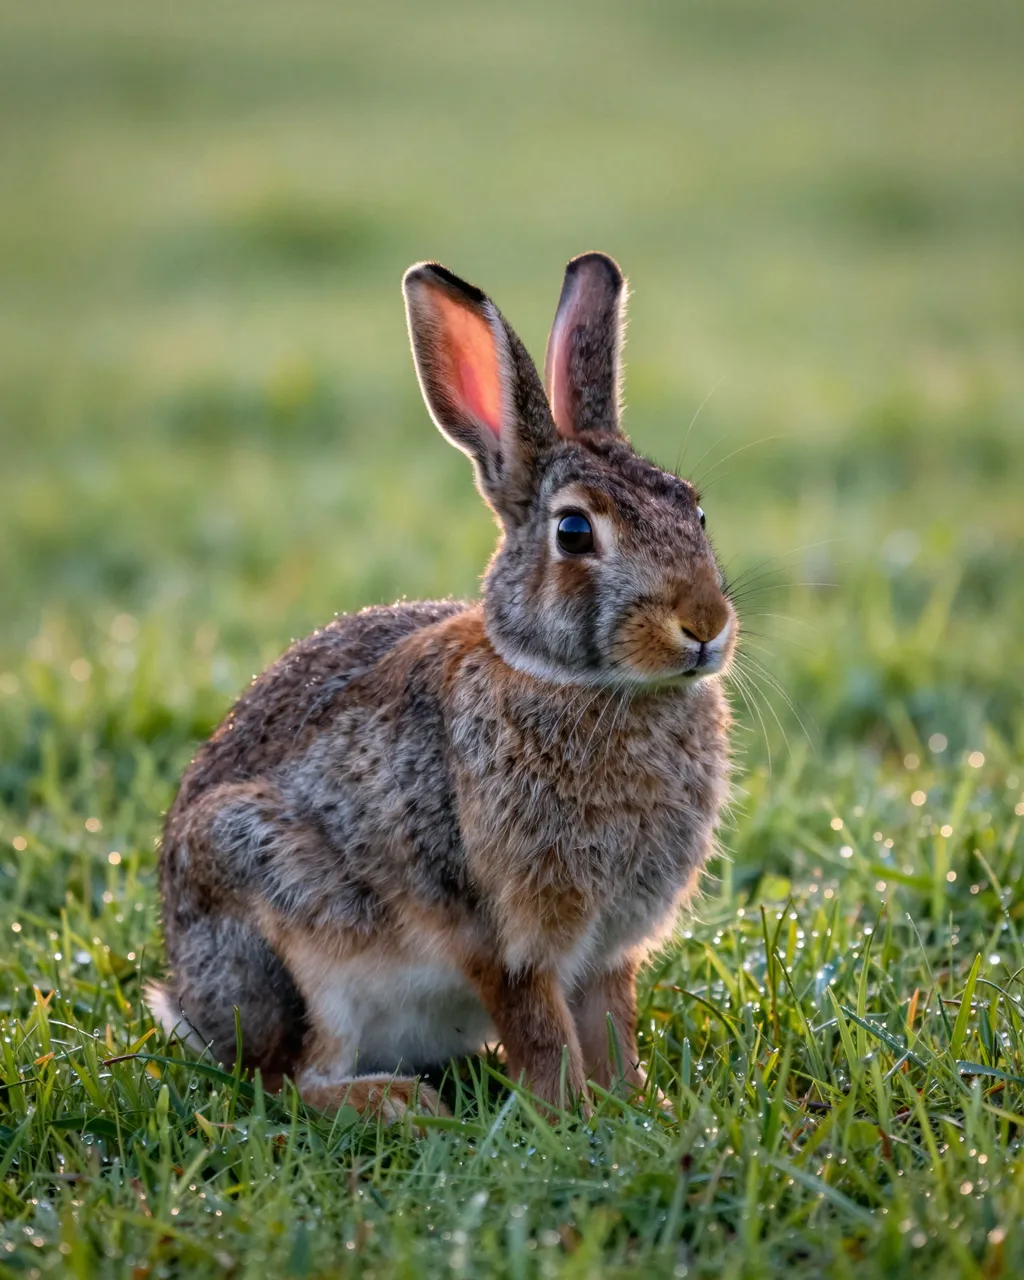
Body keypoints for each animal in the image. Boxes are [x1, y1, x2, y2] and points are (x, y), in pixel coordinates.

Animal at [148, 252, 736, 1122]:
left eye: (694, 511)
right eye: (574, 532)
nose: (704, 625)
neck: (581, 683)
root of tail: (186, 1005)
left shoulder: (608, 950)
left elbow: (611, 1027)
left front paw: (639, 1107)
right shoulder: (505, 938)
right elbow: (541, 1031)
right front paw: (565, 1117)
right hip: (282, 928)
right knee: (286, 1081)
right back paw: (399, 1104)